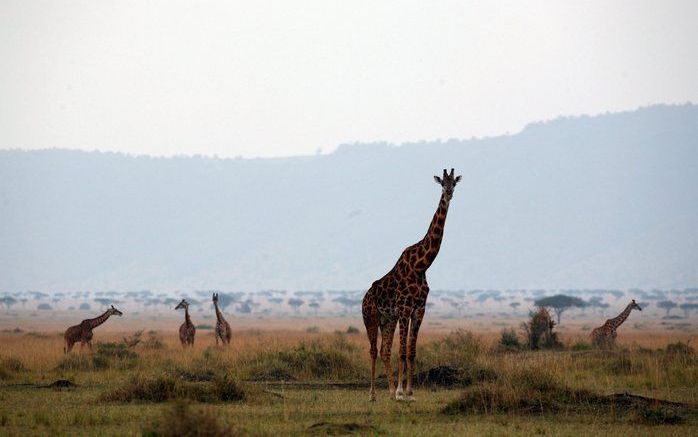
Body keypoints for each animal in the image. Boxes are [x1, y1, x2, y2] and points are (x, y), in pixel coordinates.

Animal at [362, 169, 460, 400]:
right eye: (442, 183)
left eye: (455, 183)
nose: (449, 193)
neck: (421, 266)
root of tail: (364, 297)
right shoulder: (405, 308)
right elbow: (402, 351)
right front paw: (401, 392)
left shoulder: (419, 309)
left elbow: (411, 352)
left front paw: (409, 392)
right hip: (371, 317)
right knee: (373, 350)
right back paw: (373, 394)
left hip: (387, 319)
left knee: (384, 350)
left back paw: (388, 392)